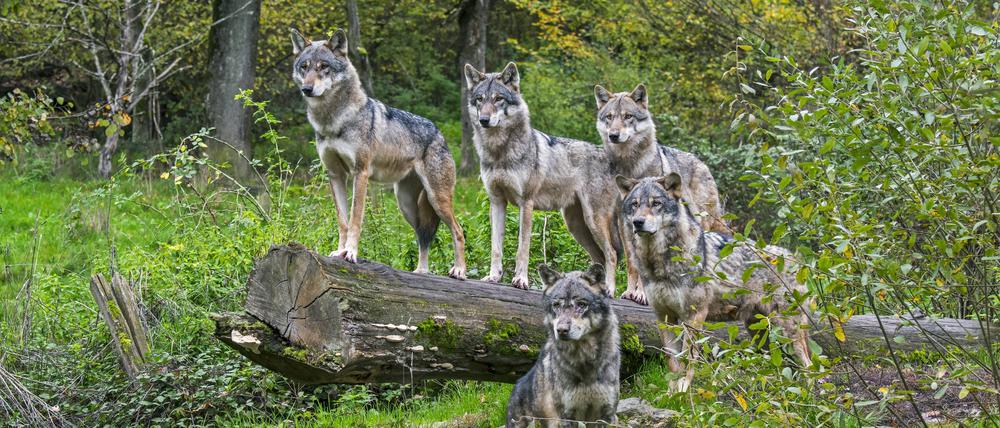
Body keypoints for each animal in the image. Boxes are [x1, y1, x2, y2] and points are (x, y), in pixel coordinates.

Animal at [291, 29, 466, 278]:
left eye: (323, 66)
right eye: (304, 67)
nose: (306, 89)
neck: (334, 120)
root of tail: (439, 133)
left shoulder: (360, 173)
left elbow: (355, 218)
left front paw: (350, 253)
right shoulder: (335, 175)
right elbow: (342, 221)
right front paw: (338, 252)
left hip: (437, 199)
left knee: (458, 231)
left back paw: (459, 270)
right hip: (407, 206)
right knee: (423, 237)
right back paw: (420, 272)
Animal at [464, 62, 621, 293]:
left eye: (498, 98)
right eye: (480, 99)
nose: (484, 120)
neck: (500, 152)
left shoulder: (526, 203)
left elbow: (522, 248)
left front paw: (520, 280)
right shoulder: (497, 202)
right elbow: (496, 247)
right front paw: (493, 277)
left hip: (593, 221)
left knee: (612, 254)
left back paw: (609, 289)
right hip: (577, 226)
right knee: (600, 257)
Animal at [506, 264, 620, 428]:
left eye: (581, 305)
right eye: (556, 305)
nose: (561, 330)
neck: (584, 362)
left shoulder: (606, 415)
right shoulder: (567, 416)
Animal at [595, 84, 726, 305]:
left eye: (628, 116)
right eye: (609, 117)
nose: (613, 135)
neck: (630, 166)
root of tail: (703, 163)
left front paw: (642, 294)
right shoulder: (624, 219)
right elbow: (632, 263)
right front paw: (627, 291)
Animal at [617, 173, 811, 393]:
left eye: (656, 203)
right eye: (634, 205)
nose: (638, 222)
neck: (660, 264)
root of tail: (797, 259)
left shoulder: (694, 316)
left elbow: (688, 358)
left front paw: (683, 390)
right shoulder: (664, 317)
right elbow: (672, 362)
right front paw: (671, 393)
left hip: (787, 330)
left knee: (808, 364)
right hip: (759, 331)